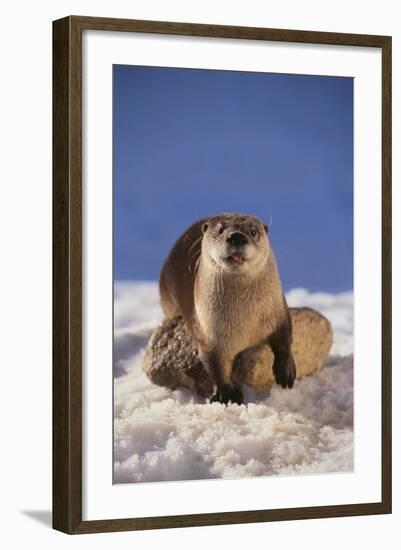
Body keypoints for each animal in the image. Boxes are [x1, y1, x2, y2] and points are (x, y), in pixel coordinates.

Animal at [159, 213, 294, 408]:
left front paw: (286, 371)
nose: (236, 236)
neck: (246, 322)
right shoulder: (209, 335)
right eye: (220, 230)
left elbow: (285, 337)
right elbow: (215, 366)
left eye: (253, 231)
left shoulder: (278, 310)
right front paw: (228, 394)